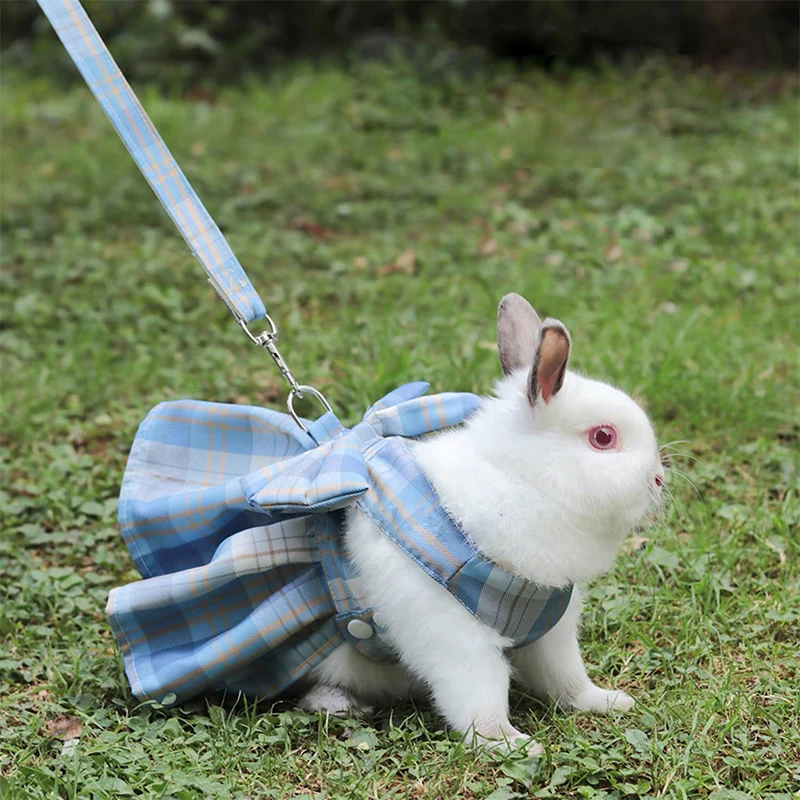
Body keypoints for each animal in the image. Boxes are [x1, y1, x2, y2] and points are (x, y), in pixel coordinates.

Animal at [296, 293, 665, 754]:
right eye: (603, 437)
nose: (658, 478)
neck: (521, 480)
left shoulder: (551, 629)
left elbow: (566, 678)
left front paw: (606, 701)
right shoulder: (453, 634)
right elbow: (478, 696)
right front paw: (510, 743)